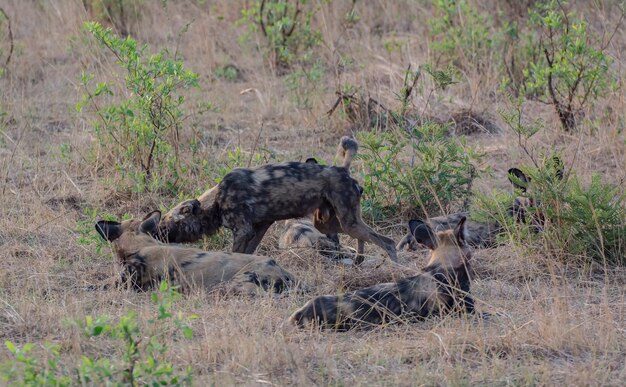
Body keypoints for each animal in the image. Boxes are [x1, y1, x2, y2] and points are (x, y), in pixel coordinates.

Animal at [158, 137, 398, 264]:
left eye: (167, 223)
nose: (156, 232)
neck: (215, 200)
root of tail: (342, 170)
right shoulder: (260, 227)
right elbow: (248, 253)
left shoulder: (243, 230)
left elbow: (236, 253)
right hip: (330, 223)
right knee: (362, 238)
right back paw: (359, 260)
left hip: (346, 222)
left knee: (388, 242)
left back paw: (396, 269)